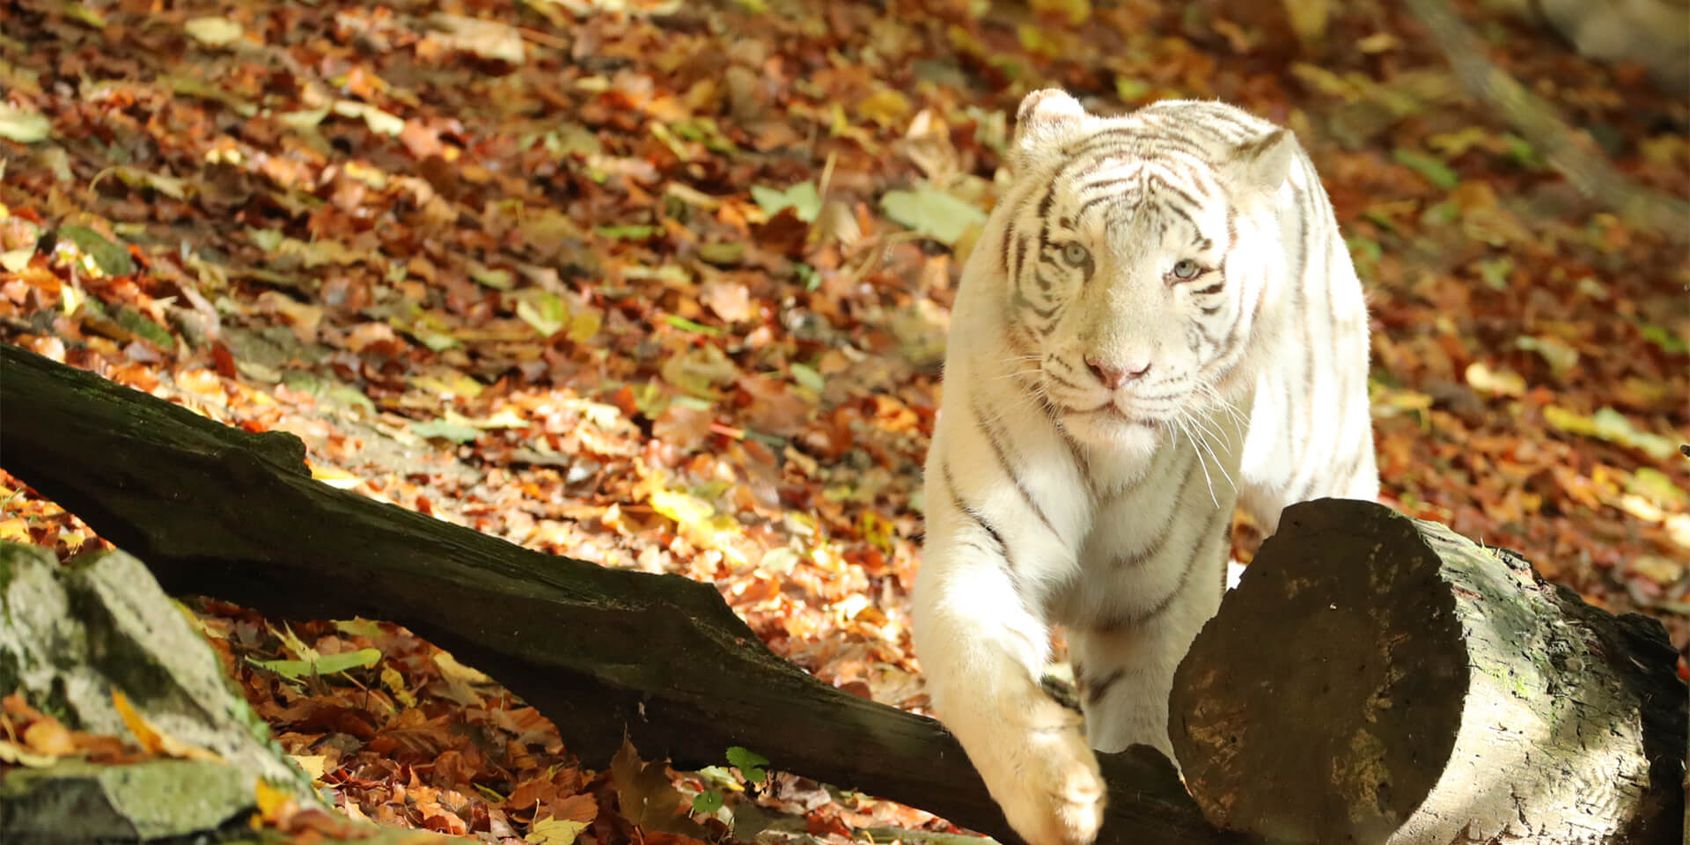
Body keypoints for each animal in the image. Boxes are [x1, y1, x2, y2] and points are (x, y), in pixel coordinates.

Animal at [911, 90, 1378, 845]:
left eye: (1183, 271)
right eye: (1077, 255)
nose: (1116, 371)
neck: (1102, 466)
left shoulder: (1164, 605)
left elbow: (1153, 727)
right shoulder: (983, 538)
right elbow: (979, 662)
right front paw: (1057, 794)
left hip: (1325, 464)